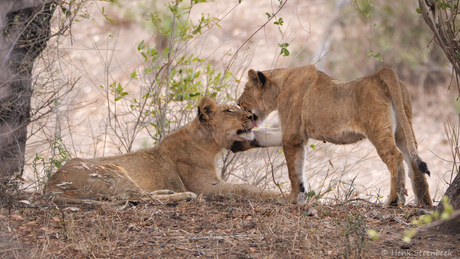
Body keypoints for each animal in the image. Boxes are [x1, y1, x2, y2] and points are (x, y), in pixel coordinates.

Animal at [44, 97, 280, 203]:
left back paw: (168, 192)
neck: (208, 143)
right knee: (138, 198)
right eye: (229, 111)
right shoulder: (206, 186)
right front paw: (279, 195)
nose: (251, 116)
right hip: (112, 170)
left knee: (140, 195)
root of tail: (50, 183)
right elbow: (245, 188)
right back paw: (184, 195)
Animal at [234, 66, 432, 208]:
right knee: (413, 161)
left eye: (245, 89)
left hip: (378, 129)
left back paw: (393, 201)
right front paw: (240, 139)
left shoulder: (292, 135)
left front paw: (292, 199)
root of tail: (379, 74)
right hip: (403, 130)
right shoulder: (294, 132)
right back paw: (424, 203)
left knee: (395, 157)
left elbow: (294, 171)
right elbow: (264, 136)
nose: (237, 103)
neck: (281, 83)